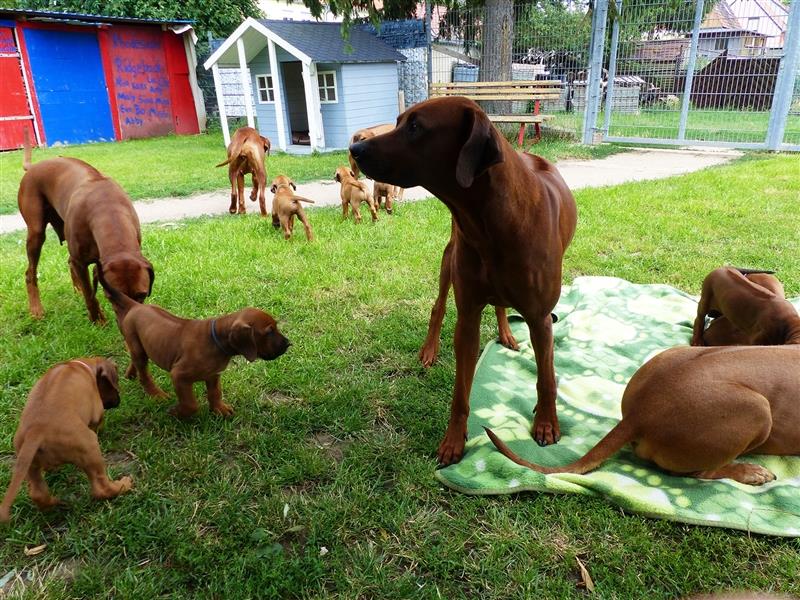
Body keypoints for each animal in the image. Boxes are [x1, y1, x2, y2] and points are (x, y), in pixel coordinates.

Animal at [0, 356, 131, 520]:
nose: (118, 401)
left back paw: (55, 502)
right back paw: (123, 485)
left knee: (37, 493)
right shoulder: (97, 412)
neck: (81, 366)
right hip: (90, 447)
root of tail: (36, 431)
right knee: (101, 488)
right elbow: (98, 423)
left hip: (29, 463)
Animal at [17, 131, 153, 324]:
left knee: (68, 261)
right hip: (36, 232)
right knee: (31, 272)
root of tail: (34, 166)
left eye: (141, 295)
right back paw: (36, 309)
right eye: (111, 296)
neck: (108, 210)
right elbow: (90, 294)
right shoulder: (81, 262)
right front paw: (98, 320)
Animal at [96, 264, 290, 420]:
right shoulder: (179, 375)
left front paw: (219, 409)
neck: (216, 341)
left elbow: (215, 393)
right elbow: (191, 404)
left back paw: (131, 374)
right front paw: (178, 413)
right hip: (138, 347)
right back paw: (155, 393)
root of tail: (136, 305)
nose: (288, 344)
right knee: (144, 373)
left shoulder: (214, 375)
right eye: (269, 332)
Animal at [350, 97, 576, 464]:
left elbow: (546, 378)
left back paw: (506, 333)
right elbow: (460, 391)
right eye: (398, 122)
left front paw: (546, 422)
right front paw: (454, 440)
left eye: (416, 126)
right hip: (449, 258)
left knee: (500, 306)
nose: (354, 148)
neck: (490, 221)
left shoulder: (541, 318)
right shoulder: (467, 316)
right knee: (438, 307)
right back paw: (430, 350)